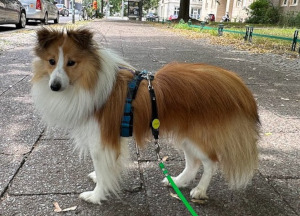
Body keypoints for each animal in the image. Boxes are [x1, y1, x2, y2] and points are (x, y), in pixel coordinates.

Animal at [31, 28, 260, 204]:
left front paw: (96, 196)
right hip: (185, 133)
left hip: (197, 135)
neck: (91, 81)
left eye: (71, 62)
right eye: (51, 61)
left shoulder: (101, 141)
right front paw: (99, 178)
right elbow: (104, 169)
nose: (54, 86)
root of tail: (232, 82)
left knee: (211, 161)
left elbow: (103, 169)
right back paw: (178, 182)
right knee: (193, 162)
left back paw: (200, 190)